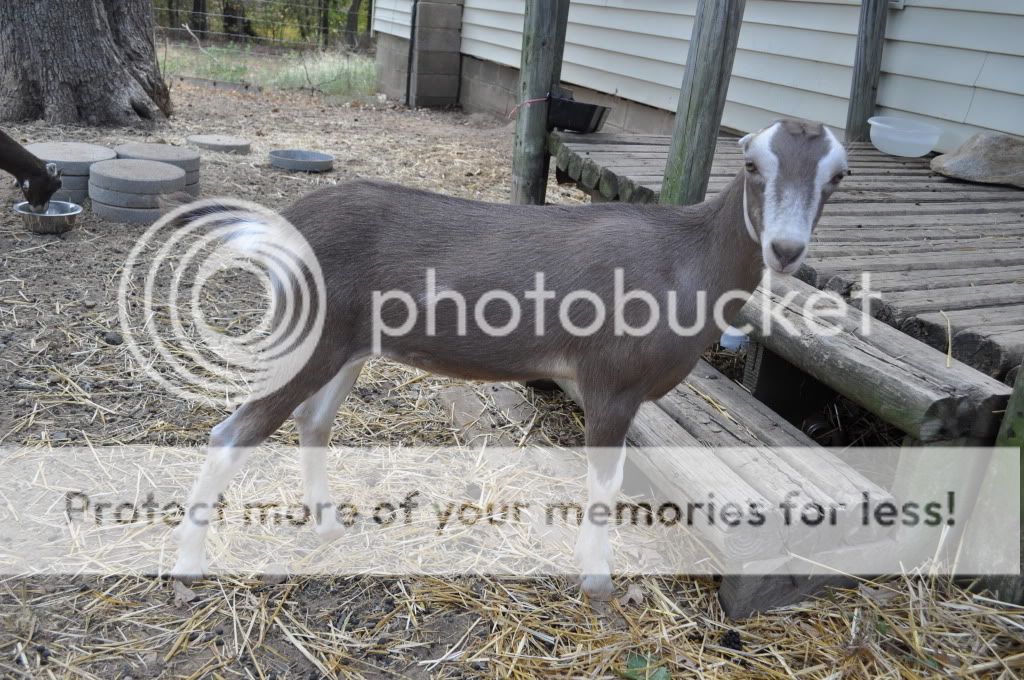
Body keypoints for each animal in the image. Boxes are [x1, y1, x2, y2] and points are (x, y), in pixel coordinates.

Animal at [170, 119, 849, 596]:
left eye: (837, 176)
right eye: (753, 164)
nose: (786, 249)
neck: (686, 261)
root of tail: (281, 228)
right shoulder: (612, 384)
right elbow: (604, 483)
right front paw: (597, 580)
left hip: (344, 345)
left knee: (313, 421)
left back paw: (330, 525)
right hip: (307, 335)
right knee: (232, 432)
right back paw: (187, 568)